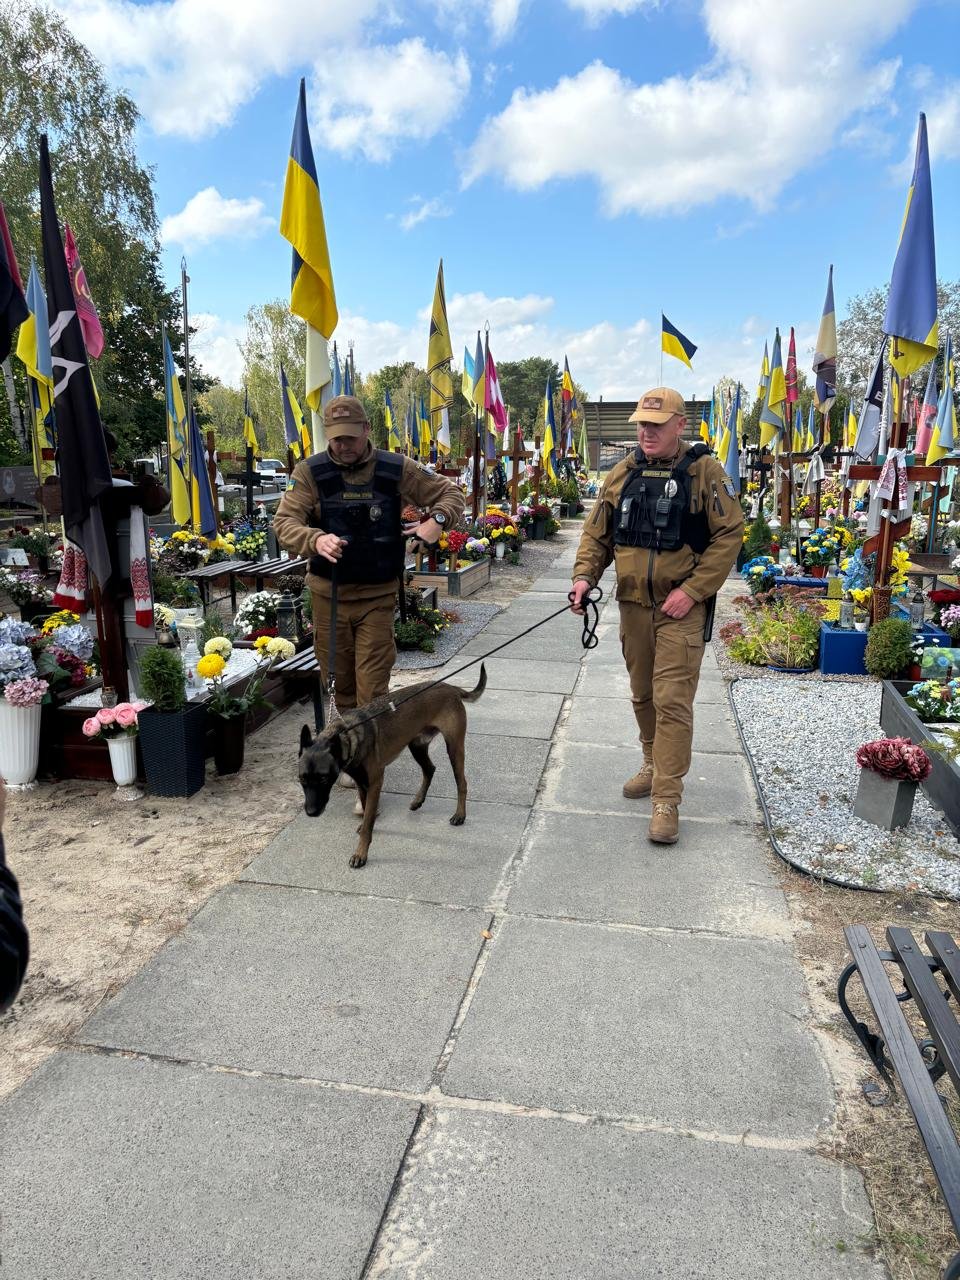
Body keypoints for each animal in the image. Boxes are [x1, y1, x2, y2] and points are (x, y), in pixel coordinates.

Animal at [296, 665, 483, 865]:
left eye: (323, 778)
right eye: (302, 779)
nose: (311, 812)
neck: (350, 736)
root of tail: (449, 687)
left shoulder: (375, 783)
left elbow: (369, 818)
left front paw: (361, 853)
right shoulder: (362, 784)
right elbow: (366, 811)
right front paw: (366, 826)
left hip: (454, 748)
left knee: (461, 782)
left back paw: (460, 815)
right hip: (417, 746)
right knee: (429, 769)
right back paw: (418, 801)